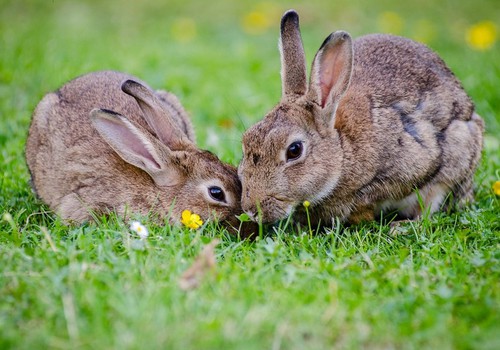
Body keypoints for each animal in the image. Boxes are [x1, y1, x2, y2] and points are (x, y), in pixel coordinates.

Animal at [238, 10, 484, 227]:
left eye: (294, 150)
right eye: (246, 141)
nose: (251, 210)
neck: (342, 151)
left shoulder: (414, 163)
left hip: (459, 150)